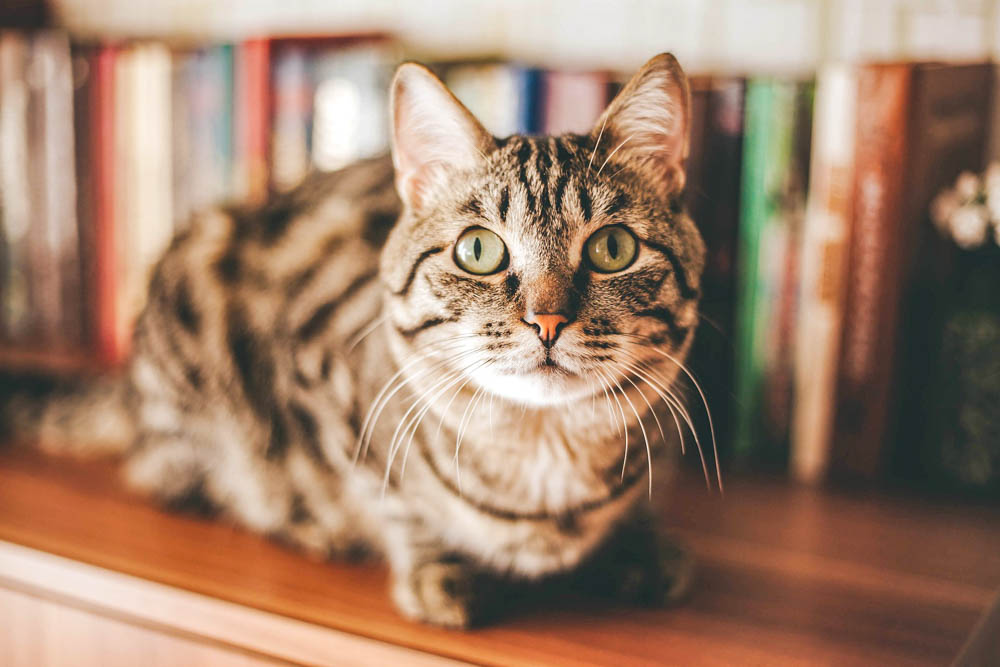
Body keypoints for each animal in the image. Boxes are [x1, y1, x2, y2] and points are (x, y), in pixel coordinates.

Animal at [11, 52, 708, 628]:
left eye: (612, 248)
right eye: (479, 251)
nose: (547, 320)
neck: (542, 460)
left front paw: (641, 547)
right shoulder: (328, 397)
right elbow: (393, 501)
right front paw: (431, 567)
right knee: (177, 472)